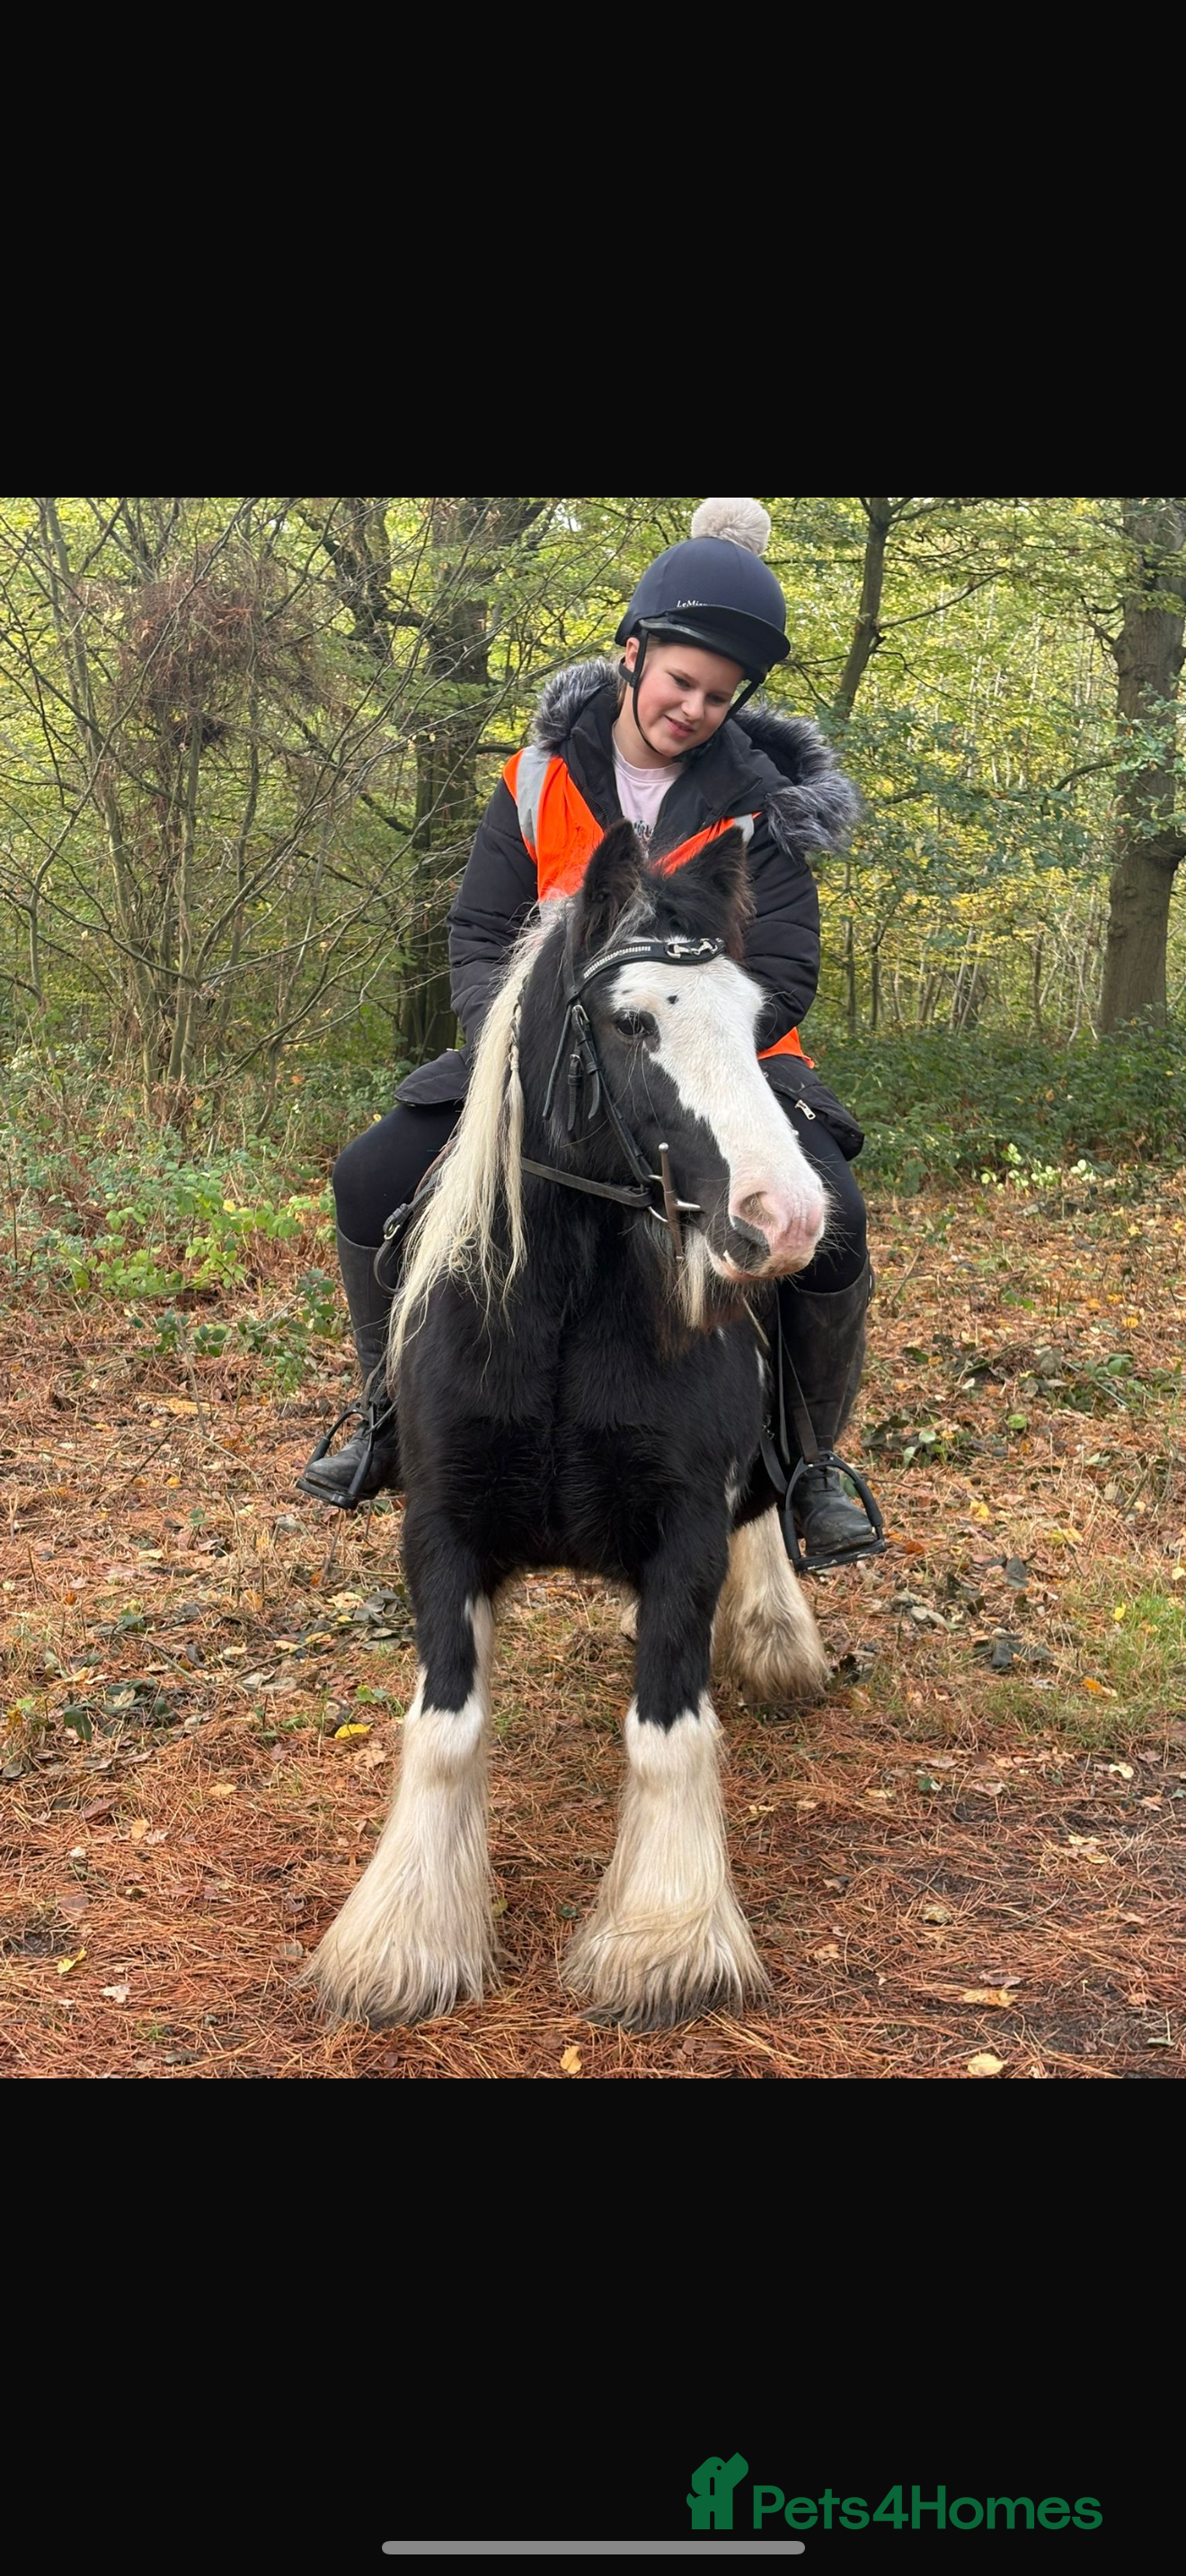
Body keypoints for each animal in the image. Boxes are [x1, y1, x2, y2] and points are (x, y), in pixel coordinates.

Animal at [305, 819, 834, 2033]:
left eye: (755, 1019)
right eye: (633, 1022)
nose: (787, 1217)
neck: (560, 1312)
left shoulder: (684, 1531)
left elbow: (668, 1733)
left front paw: (664, 1942)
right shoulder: (441, 1530)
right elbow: (445, 1729)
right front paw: (405, 1942)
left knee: (772, 1510)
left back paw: (775, 1635)